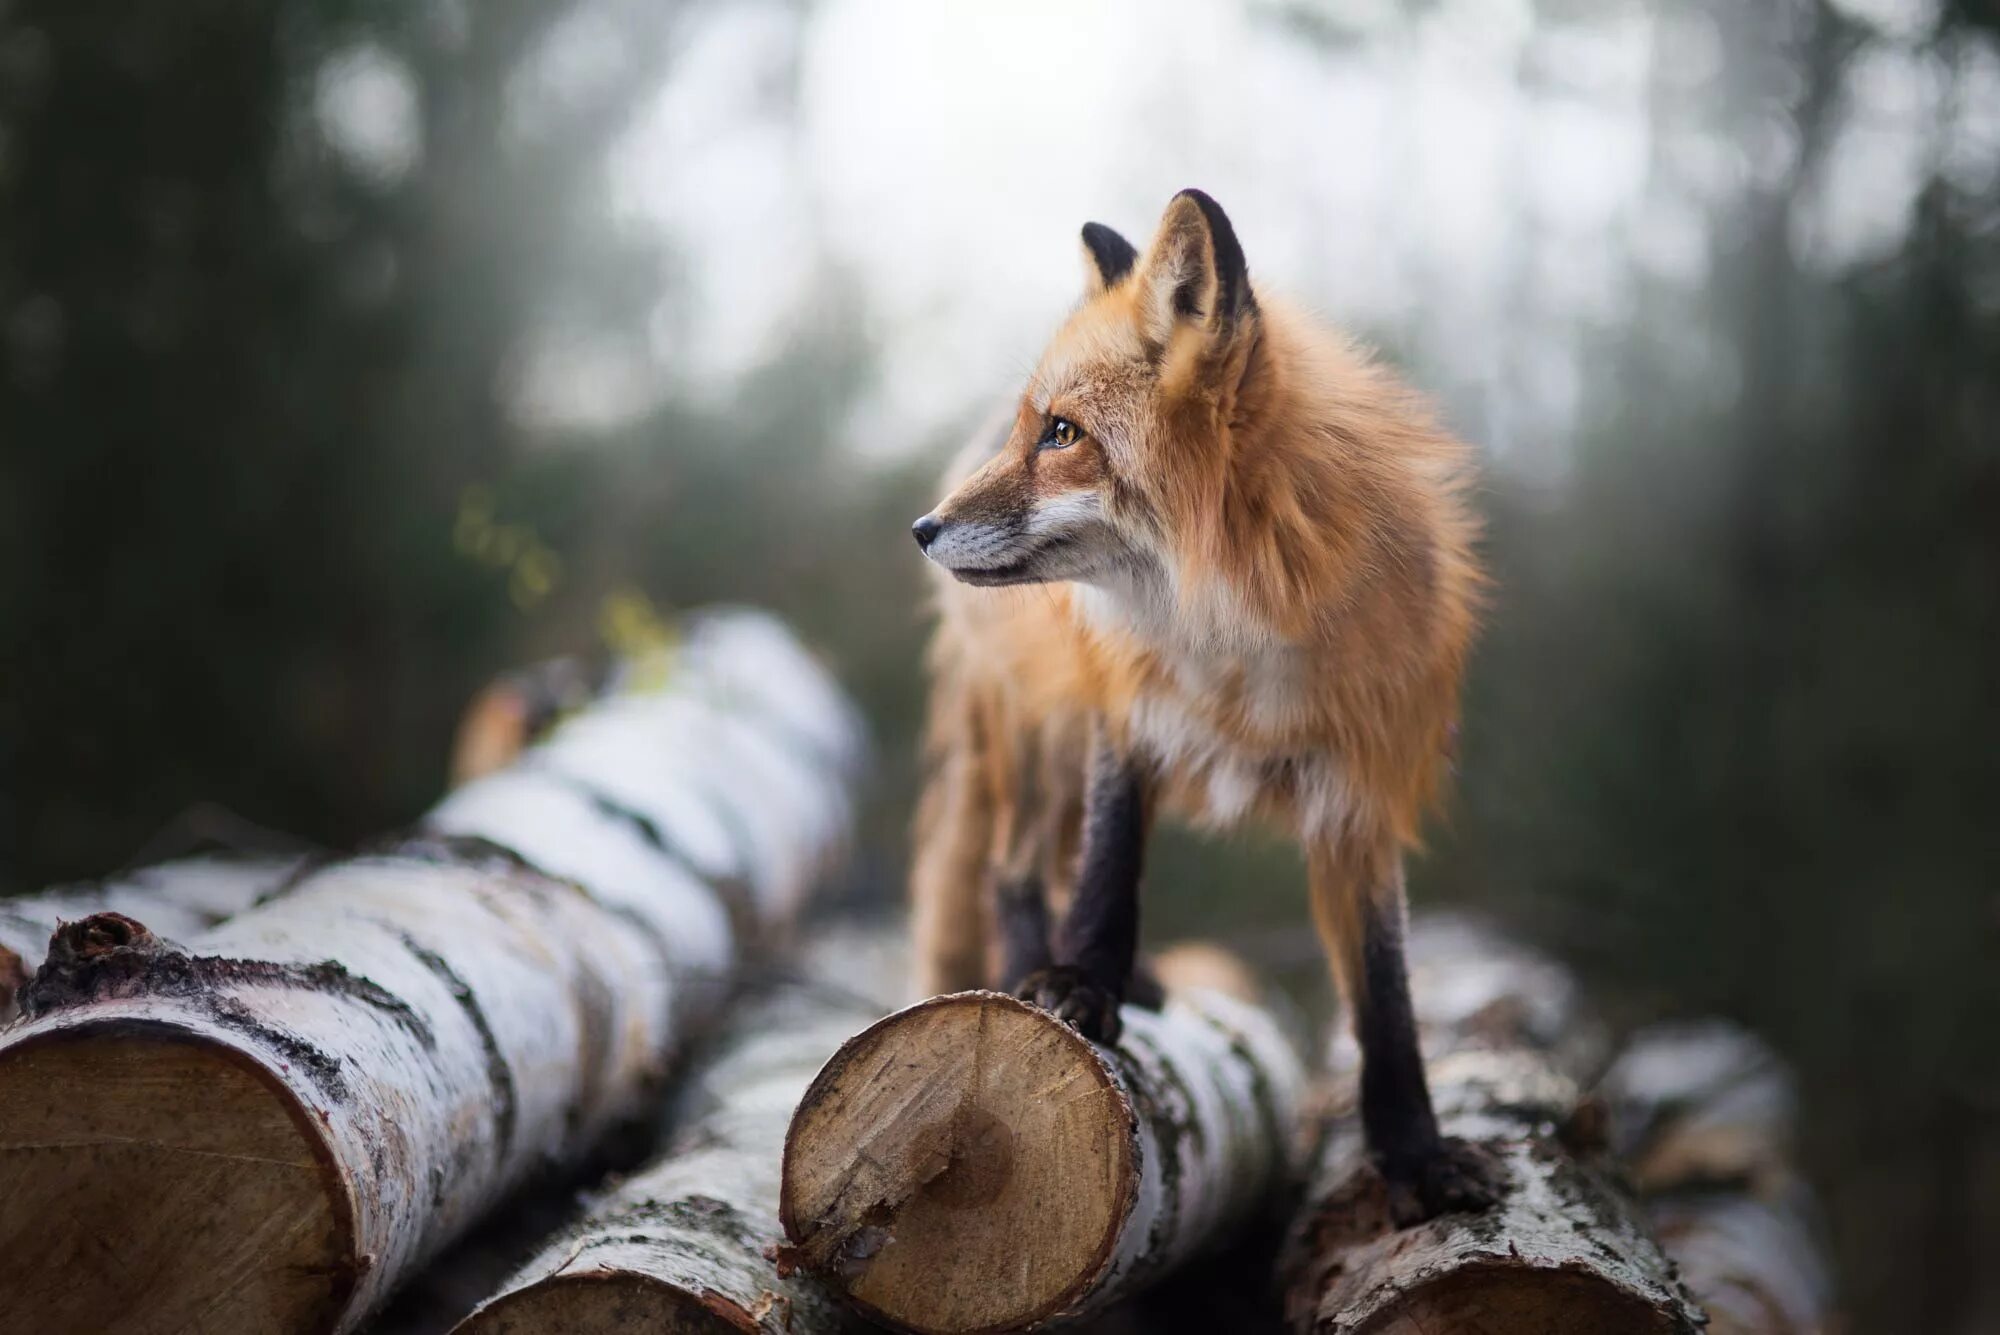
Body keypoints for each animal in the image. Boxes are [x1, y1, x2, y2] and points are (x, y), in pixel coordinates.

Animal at [916, 187, 1496, 1223]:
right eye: (1035, 428)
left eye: (1061, 433)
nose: (922, 527)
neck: (1237, 633)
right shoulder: (1124, 716)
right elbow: (1109, 869)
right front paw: (1081, 983)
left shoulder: (1360, 794)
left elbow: (1385, 998)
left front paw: (1416, 1155)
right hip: (1042, 733)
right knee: (1014, 870)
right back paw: (1042, 971)